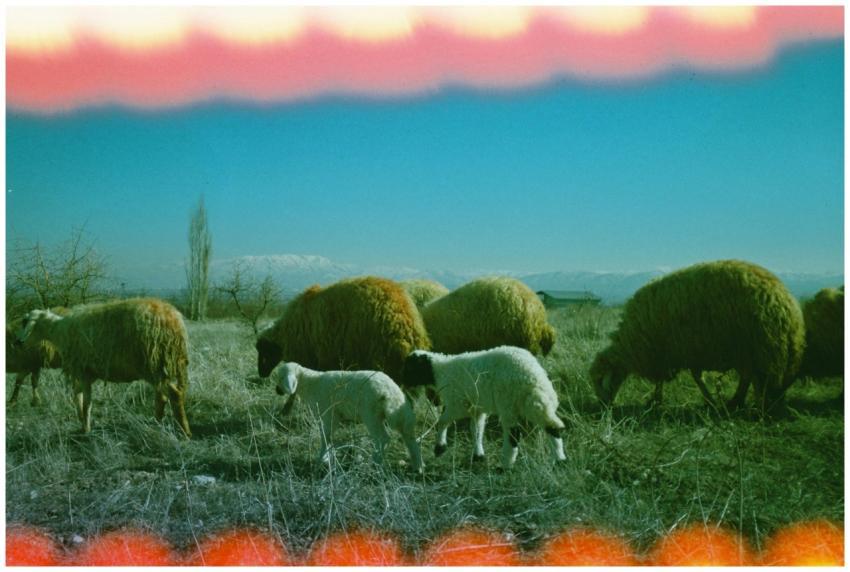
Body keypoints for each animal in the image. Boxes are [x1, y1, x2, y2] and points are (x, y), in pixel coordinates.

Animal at [16, 298, 191, 436]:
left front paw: (86, 428)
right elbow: (77, 397)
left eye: (25, 322)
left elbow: (86, 403)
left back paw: (185, 432)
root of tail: (175, 320)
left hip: (152, 364)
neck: (60, 331)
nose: (18, 342)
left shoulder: (83, 370)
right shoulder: (85, 373)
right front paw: (81, 423)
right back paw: (157, 423)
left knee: (174, 394)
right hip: (159, 366)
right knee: (162, 397)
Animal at [272, 361, 423, 472]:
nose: (277, 390)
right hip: (400, 414)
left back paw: (374, 462)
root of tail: (391, 392)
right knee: (409, 437)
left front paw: (322, 459)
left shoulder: (328, 413)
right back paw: (417, 466)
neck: (311, 383)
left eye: (281, 377)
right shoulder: (334, 415)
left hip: (371, 414)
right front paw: (327, 458)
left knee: (383, 438)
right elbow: (329, 436)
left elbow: (326, 436)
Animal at [401, 346, 567, 469]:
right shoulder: (476, 409)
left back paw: (506, 465)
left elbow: (442, 422)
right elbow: (476, 431)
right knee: (551, 426)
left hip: (508, 403)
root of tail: (533, 376)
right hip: (534, 402)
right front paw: (478, 455)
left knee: (513, 435)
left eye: (410, 368)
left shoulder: (458, 404)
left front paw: (440, 448)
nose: (403, 383)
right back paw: (560, 460)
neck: (439, 372)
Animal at [589, 260, 805, 414]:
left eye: (600, 381)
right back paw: (737, 402)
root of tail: (787, 305)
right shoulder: (681, 351)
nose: (602, 407)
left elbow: (686, 377)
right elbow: (687, 377)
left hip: (757, 347)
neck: (631, 342)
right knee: (747, 377)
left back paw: (745, 404)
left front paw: (657, 401)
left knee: (750, 378)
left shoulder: (671, 351)